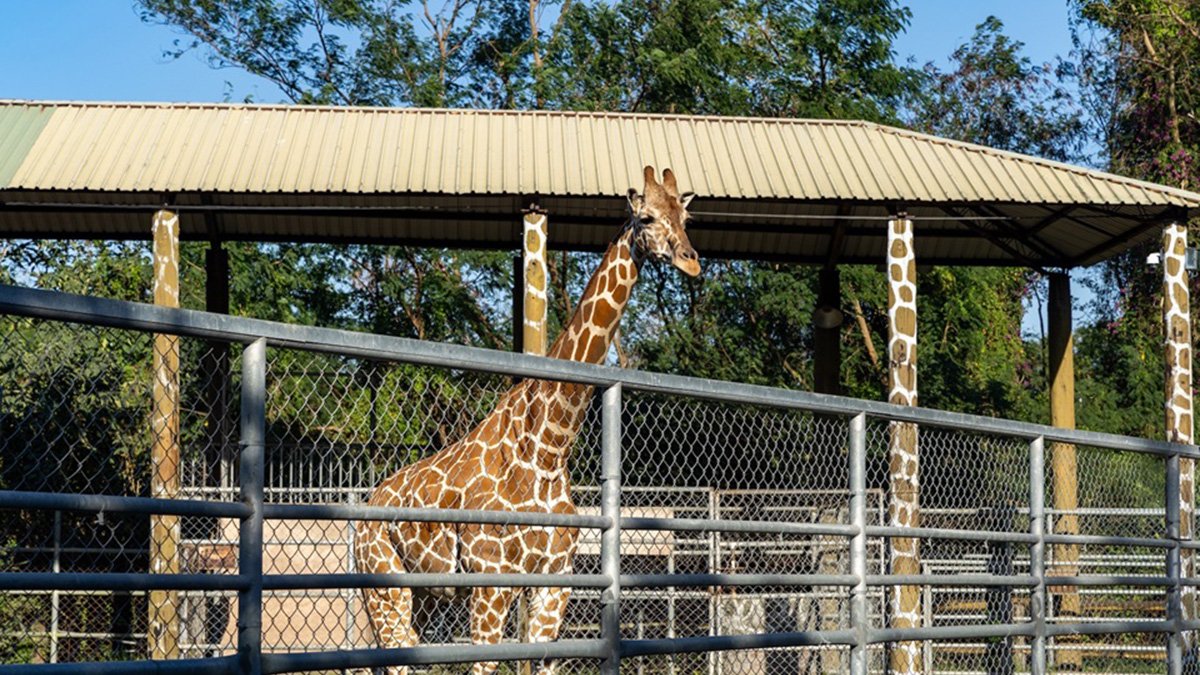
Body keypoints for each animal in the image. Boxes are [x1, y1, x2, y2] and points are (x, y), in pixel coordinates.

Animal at [350, 164, 700, 672]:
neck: (548, 447)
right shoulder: (490, 581)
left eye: (686, 217)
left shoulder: (554, 582)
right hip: (383, 582)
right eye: (648, 217)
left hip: (424, 595)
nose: (692, 262)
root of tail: (364, 512)